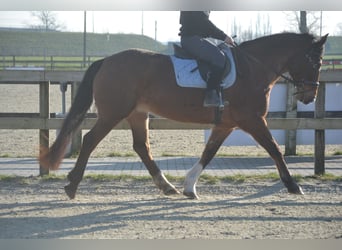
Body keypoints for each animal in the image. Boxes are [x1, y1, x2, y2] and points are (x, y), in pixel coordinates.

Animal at [40, 32, 328, 199]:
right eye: (316, 61)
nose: (309, 96)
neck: (252, 68)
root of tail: (107, 60)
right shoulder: (253, 120)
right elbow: (275, 149)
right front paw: (293, 185)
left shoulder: (227, 124)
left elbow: (209, 153)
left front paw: (190, 187)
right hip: (113, 113)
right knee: (90, 140)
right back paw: (72, 186)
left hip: (138, 114)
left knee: (141, 147)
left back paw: (168, 186)